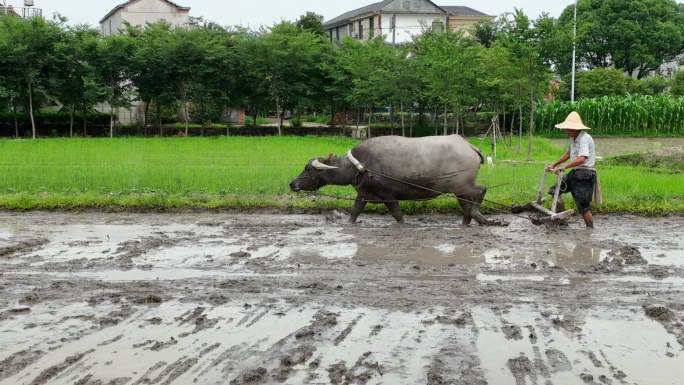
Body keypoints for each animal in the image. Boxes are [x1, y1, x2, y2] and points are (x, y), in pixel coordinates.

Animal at [288, 135, 502, 225]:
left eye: (308, 169)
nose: (292, 184)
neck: (360, 166)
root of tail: (469, 146)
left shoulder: (388, 195)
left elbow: (398, 215)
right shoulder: (363, 195)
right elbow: (354, 213)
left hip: (460, 185)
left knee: (479, 191)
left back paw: (478, 218)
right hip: (459, 188)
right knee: (469, 202)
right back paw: (467, 222)